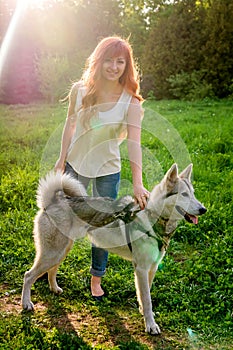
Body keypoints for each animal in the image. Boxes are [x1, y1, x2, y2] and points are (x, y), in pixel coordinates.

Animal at [21, 163, 206, 334]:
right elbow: (147, 299)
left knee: (51, 271)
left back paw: (54, 289)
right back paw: (26, 303)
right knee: (28, 275)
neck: (153, 218)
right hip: (53, 253)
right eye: (184, 194)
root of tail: (50, 203)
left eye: (193, 193)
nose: (203, 209)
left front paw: (144, 314)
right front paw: (151, 325)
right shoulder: (141, 268)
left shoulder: (152, 268)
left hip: (61, 251)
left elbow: (145, 295)